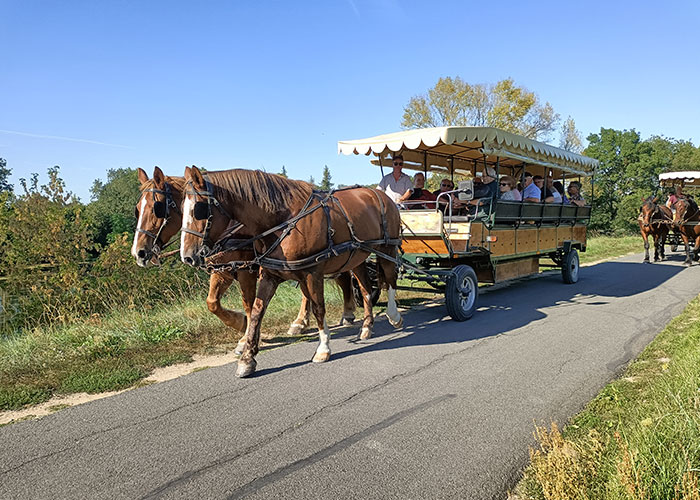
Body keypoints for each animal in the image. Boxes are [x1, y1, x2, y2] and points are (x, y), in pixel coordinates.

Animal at [132, 168, 358, 352]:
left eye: (157, 208)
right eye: (137, 209)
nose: (138, 253)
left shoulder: (245, 271)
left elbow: (249, 304)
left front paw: (245, 333)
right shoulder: (222, 270)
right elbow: (212, 303)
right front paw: (241, 324)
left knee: (341, 277)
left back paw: (344, 314)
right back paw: (302, 321)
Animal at [178, 166, 402, 376]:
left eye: (198, 209)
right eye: (181, 208)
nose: (187, 256)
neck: (283, 221)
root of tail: (379, 194)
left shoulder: (312, 272)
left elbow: (318, 308)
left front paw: (323, 348)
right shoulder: (269, 274)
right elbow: (257, 311)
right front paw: (247, 358)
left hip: (387, 249)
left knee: (390, 280)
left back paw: (394, 316)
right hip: (357, 256)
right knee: (365, 289)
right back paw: (366, 327)